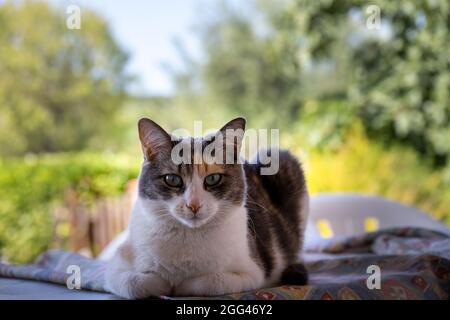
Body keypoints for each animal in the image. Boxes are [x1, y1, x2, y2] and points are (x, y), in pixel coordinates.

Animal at [104, 118, 310, 300]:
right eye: (172, 179)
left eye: (213, 178)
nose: (194, 204)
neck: (188, 237)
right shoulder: (114, 267)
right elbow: (134, 283)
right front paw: (162, 283)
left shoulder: (253, 272)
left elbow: (211, 281)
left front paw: (179, 286)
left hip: (281, 159)